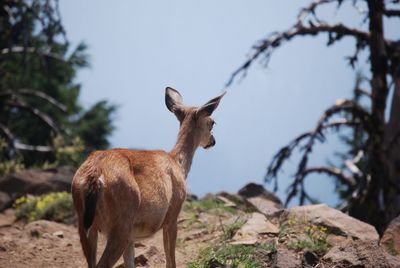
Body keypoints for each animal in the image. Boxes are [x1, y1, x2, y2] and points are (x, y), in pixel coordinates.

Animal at [71, 87, 225, 266]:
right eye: (212, 122)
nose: (213, 141)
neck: (179, 165)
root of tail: (94, 176)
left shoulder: (132, 237)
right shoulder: (173, 214)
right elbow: (170, 260)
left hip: (86, 224)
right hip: (121, 222)